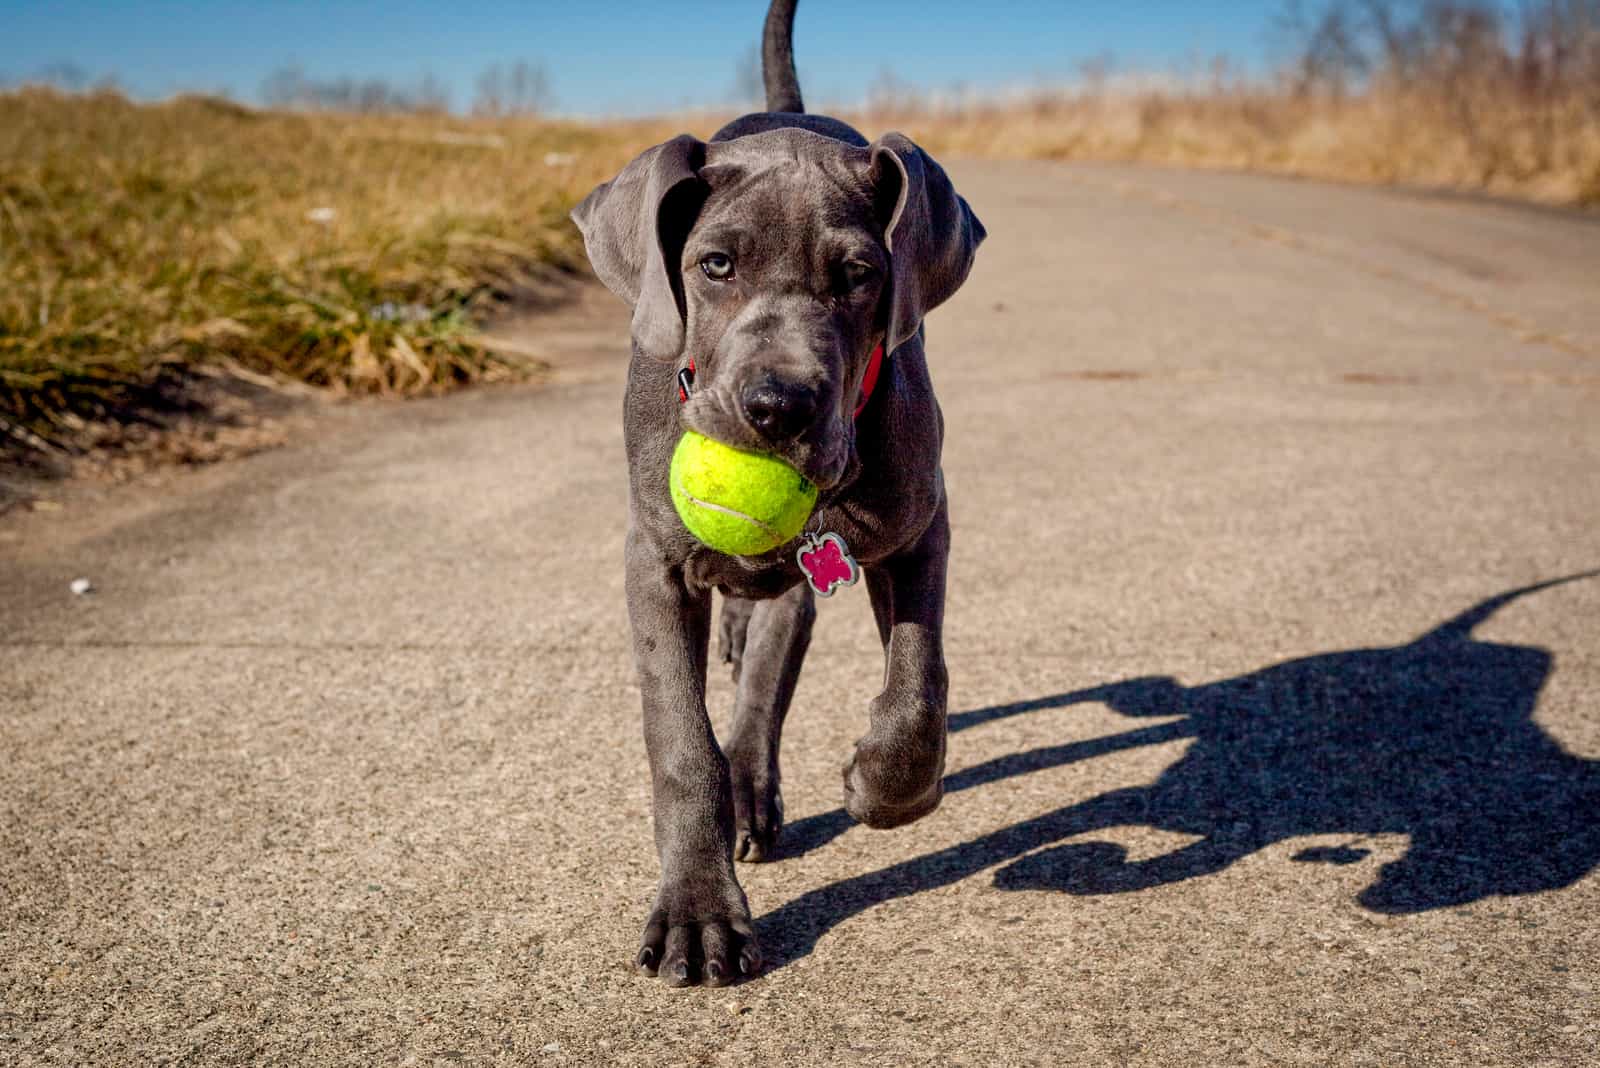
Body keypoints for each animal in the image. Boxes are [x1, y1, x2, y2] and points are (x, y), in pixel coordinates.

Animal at [569, 0, 979, 984]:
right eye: (715, 265)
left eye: (861, 275)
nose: (776, 407)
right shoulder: (653, 561)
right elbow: (682, 742)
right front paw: (697, 912)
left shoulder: (919, 526)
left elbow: (918, 685)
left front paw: (881, 783)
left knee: (768, 671)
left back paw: (757, 780)